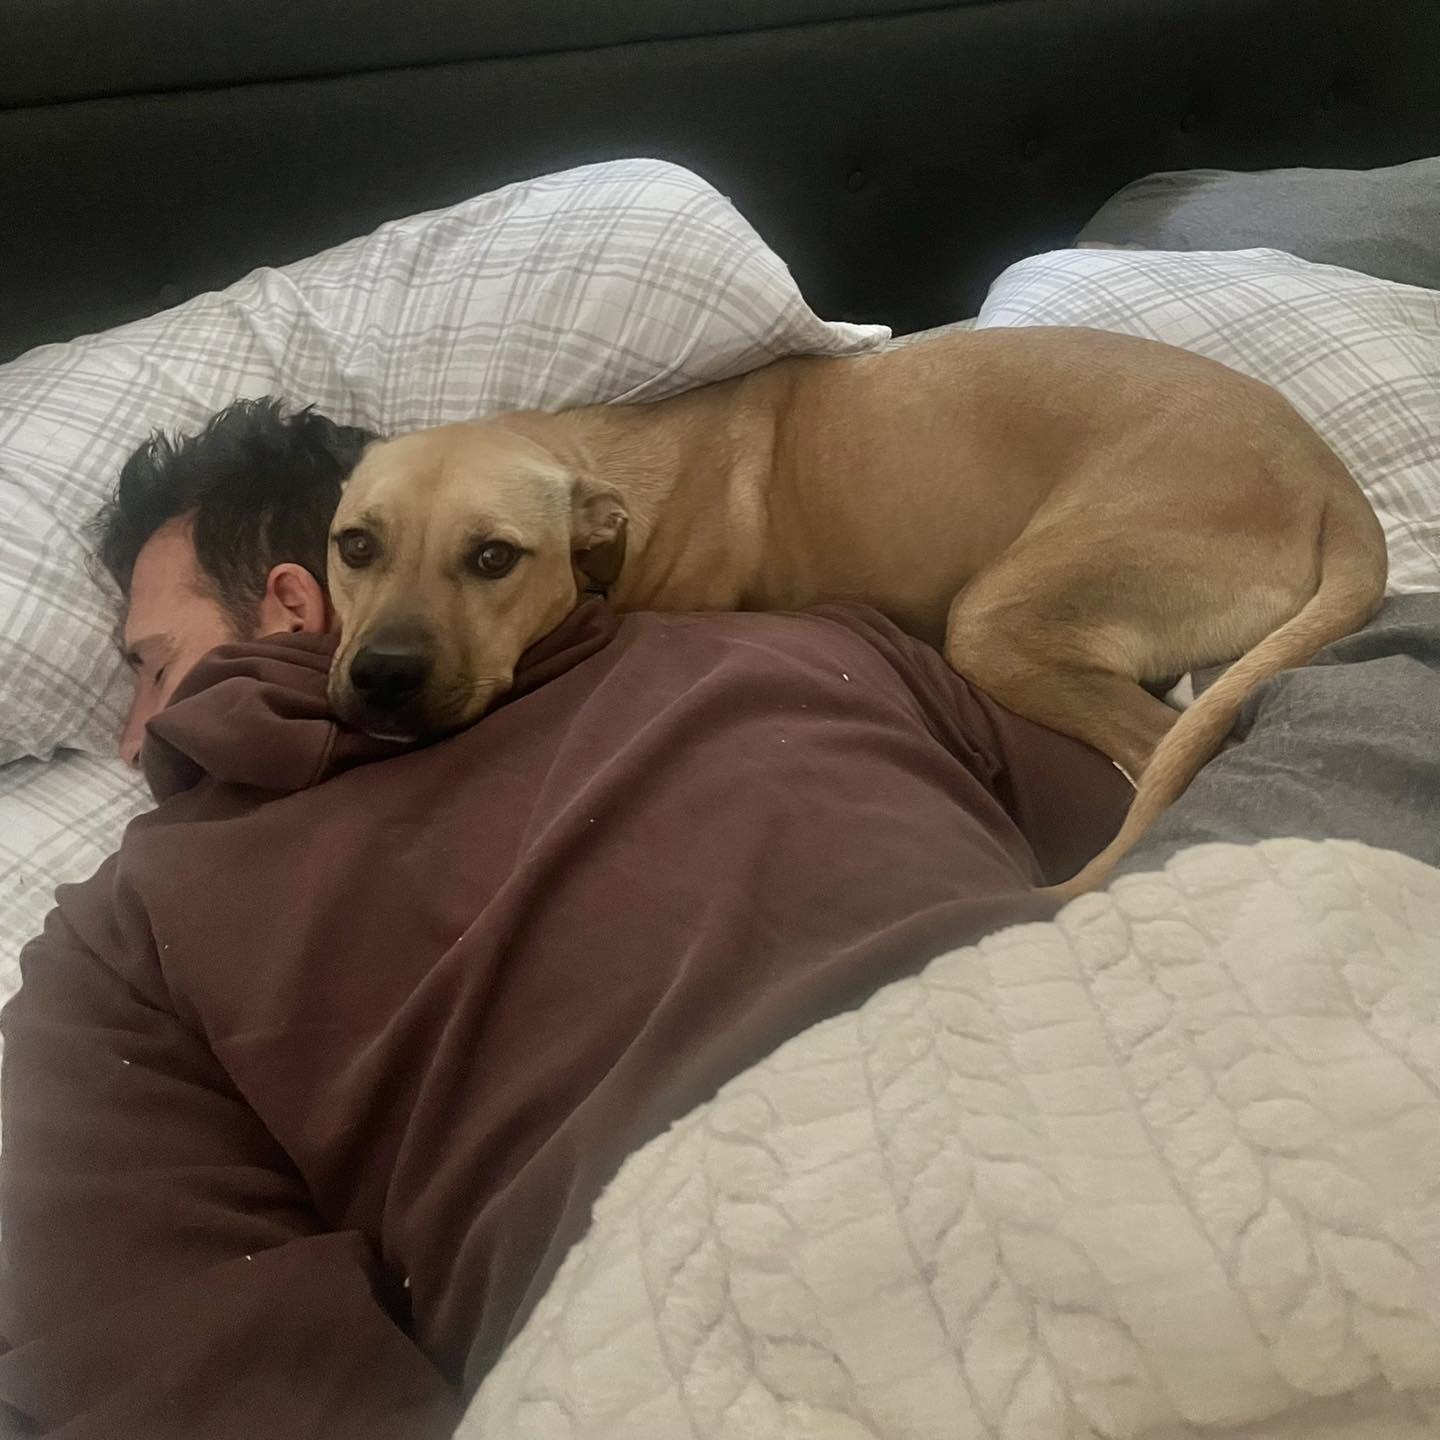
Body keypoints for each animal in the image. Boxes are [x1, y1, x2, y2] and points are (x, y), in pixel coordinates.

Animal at [326, 326, 1382, 892]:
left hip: (995, 619)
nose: (381, 676)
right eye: (354, 546)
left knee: (1162, 746)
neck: (602, 465)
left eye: (494, 558)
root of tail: (1331, 480)